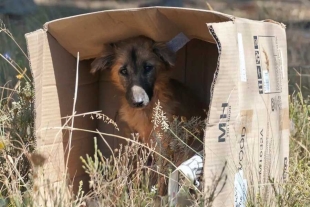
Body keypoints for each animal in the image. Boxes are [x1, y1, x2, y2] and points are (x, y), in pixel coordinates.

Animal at [91, 35, 207, 196]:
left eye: (147, 67)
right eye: (123, 70)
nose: (138, 102)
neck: (146, 111)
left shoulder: (163, 144)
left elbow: (162, 176)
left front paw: (158, 195)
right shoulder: (136, 140)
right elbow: (136, 167)